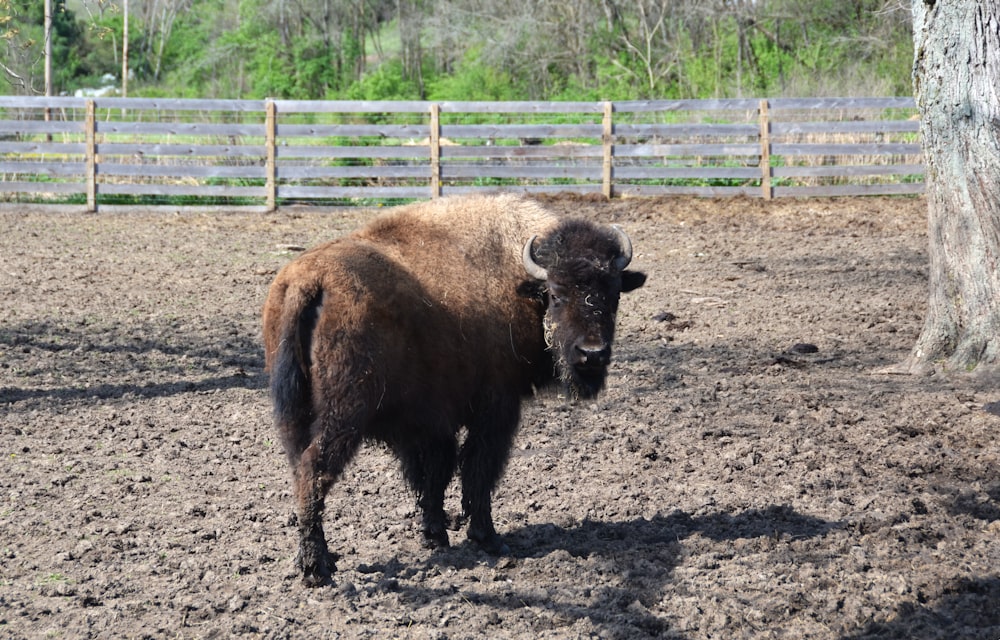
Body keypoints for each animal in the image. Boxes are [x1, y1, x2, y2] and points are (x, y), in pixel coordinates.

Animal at [262, 194, 644, 584]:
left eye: (613, 293)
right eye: (555, 293)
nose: (592, 354)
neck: (517, 278)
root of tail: (311, 279)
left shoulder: (427, 421)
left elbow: (433, 474)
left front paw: (435, 535)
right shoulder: (496, 408)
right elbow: (477, 468)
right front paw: (487, 538)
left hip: (293, 414)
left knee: (300, 471)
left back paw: (315, 559)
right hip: (344, 415)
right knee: (316, 468)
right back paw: (317, 569)